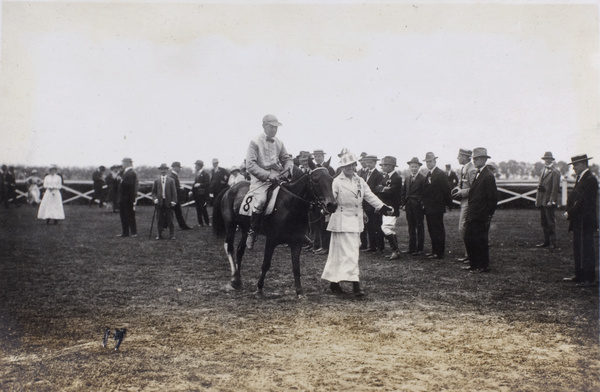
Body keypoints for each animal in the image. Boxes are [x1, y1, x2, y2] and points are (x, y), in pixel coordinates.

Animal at [212, 165, 338, 298]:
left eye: (331, 180)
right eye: (315, 180)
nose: (332, 205)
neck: (289, 204)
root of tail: (230, 188)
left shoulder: (297, 242)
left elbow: (296, 267)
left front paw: (299, 292)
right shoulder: (271, 240)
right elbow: (266, 264)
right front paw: (259, 289)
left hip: (245, 228)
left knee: (240, 250)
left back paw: (238, 279)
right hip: (230, 225)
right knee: (229, 247)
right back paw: (233, 279)